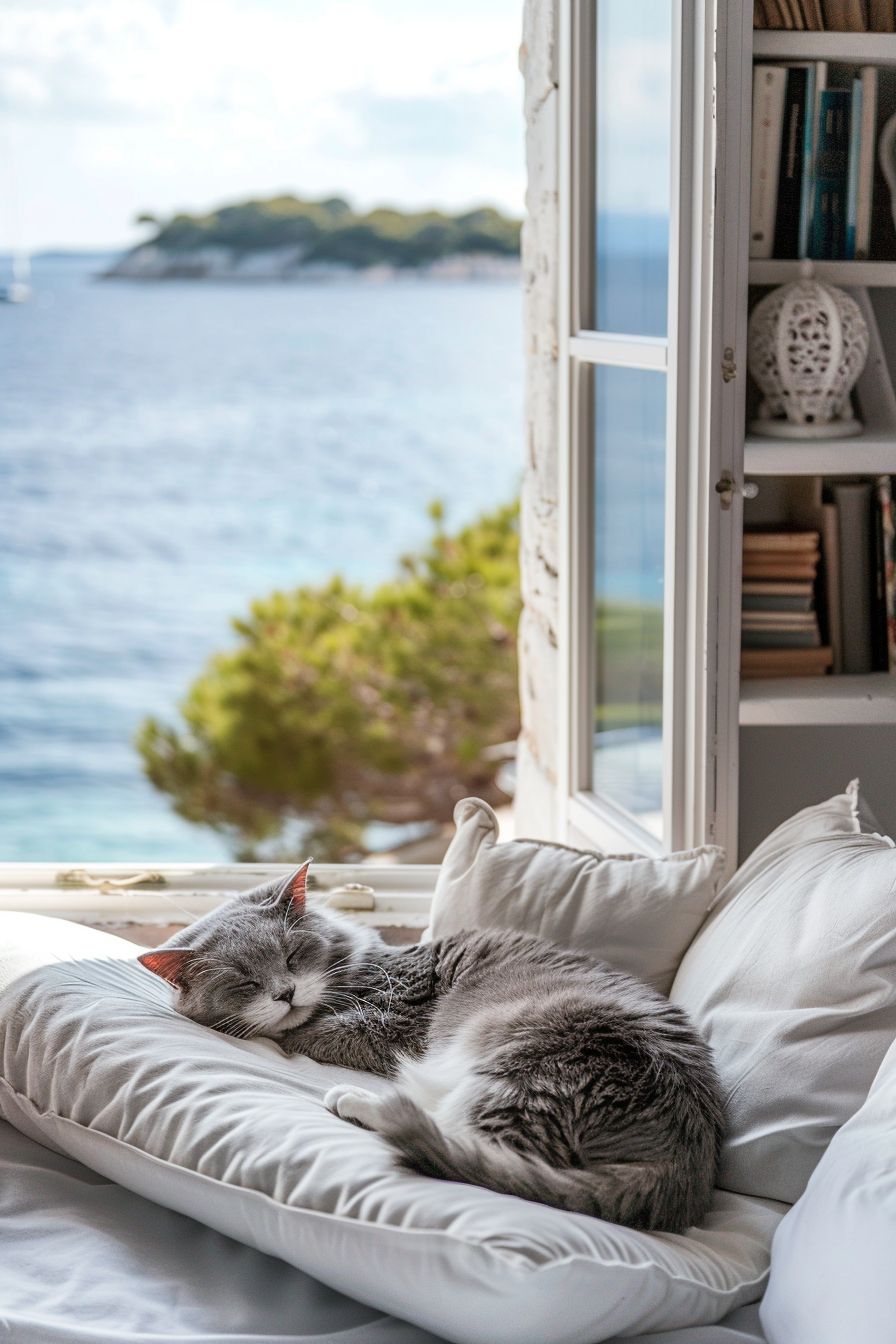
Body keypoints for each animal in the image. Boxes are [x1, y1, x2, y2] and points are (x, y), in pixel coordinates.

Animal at [141, 860, 730, 1231]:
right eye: (244, 981)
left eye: (291, 955)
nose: (284, 993)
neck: (366, 966)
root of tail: (686, 1157)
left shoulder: (389, 1022)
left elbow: (312, 1032)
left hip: (523, 1071)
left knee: (463, 1145)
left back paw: (359, 1102)